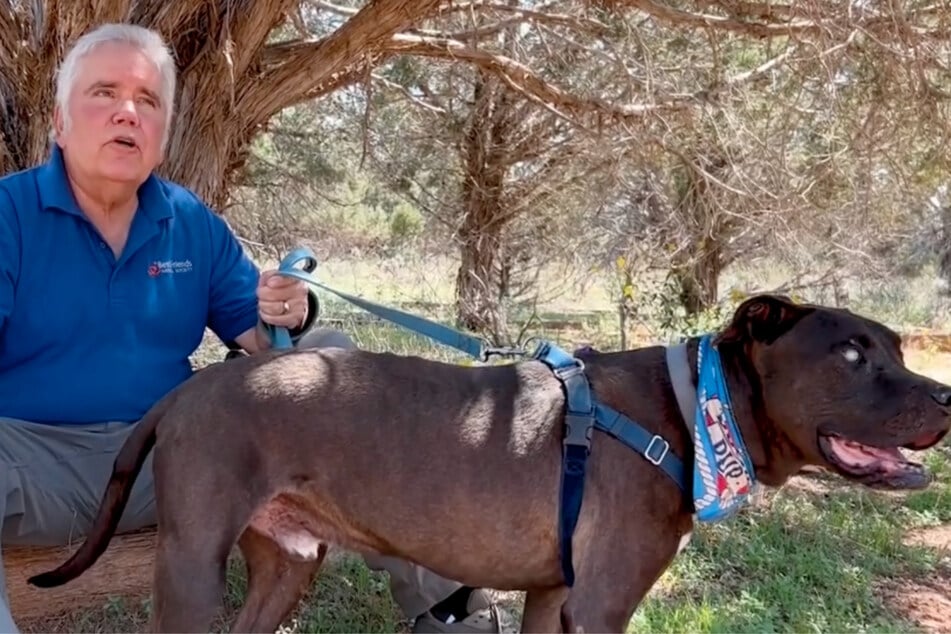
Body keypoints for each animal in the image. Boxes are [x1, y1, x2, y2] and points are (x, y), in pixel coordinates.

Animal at [27, 296, 951, 632]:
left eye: (898, 348)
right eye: (852, 355)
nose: (946, 397)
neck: (695, 409)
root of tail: (184, 392)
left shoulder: (555, 596)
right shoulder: (601, 605)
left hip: (288, 561)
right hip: (191, 562)